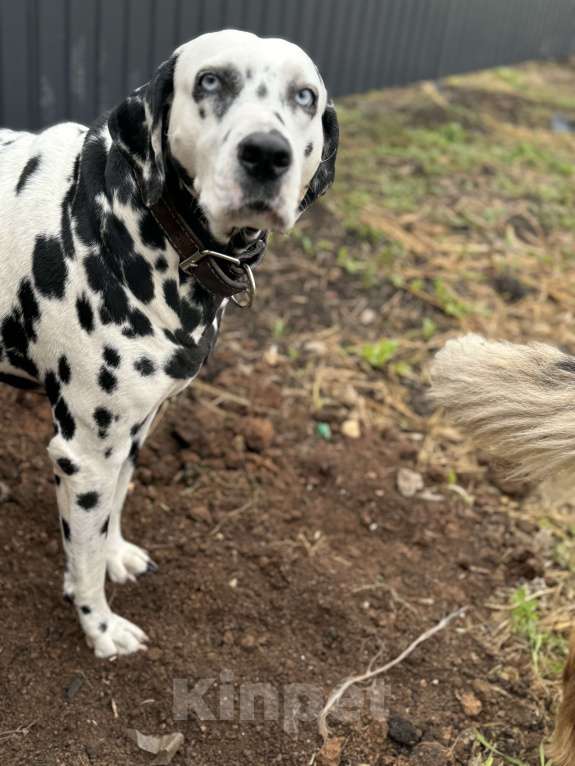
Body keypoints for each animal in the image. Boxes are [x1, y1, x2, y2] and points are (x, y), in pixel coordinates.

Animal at [0, 30, 340, 660]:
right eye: (209, 80)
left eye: (305, 95)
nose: (267, 154)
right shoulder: (83, 455)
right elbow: (82, 558)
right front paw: (99, 626)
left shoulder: (136, 429)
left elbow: (112, 510)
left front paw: (115, 556)